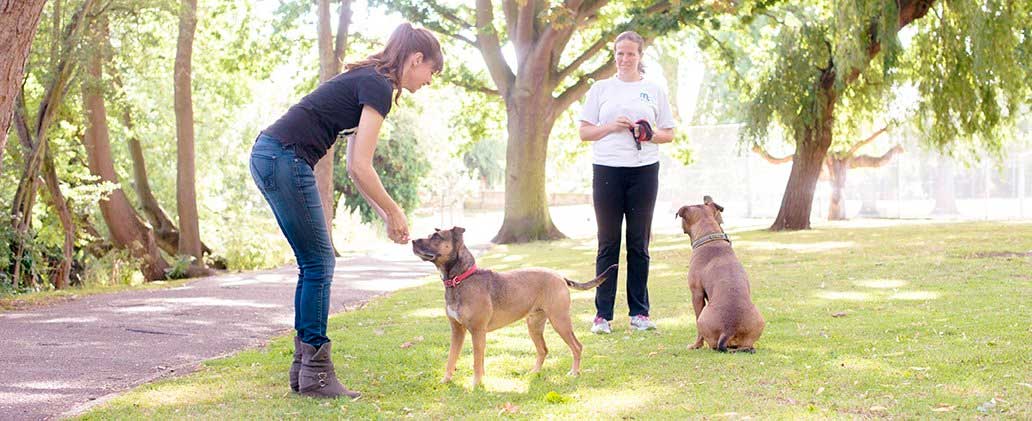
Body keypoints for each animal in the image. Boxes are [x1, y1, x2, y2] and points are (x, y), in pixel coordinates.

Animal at [410, 227, 615, 383]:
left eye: (436, 237)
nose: (412, 240)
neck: (460, 279)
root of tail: (560, 276)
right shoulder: (457, 331)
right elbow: (451, 358)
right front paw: (446, 381)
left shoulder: (477, 331)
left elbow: (476, 361)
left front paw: (476, 384)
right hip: (534, 325)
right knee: (543, 350)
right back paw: (534, 373)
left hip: (560, 321)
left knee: (577, 346)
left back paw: (574, 372)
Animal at [676, 197, 767, 352]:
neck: (711, 238)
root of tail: (729, 329)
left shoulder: (696, 294)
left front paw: (696, 345)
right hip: (758, 322)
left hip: (703, 318)